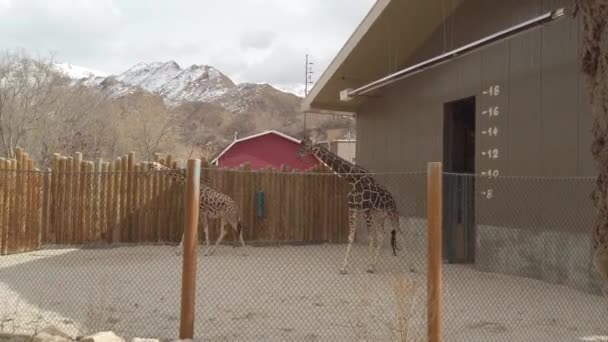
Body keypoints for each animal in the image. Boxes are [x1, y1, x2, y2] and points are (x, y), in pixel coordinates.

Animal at [296, 136, 402, 276]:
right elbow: (351, 237)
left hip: (391, 212)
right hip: (379, 215)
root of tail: (393, 198)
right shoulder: (353, 207)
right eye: (300, 144)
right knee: (381, 235)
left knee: (399, 232)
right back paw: (375, 265)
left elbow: (370, 237)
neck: (353, 180)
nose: (298, 155)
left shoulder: (366, 208)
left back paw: (411, 266)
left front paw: (368, 267)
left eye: (307, 146)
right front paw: (344, 268)